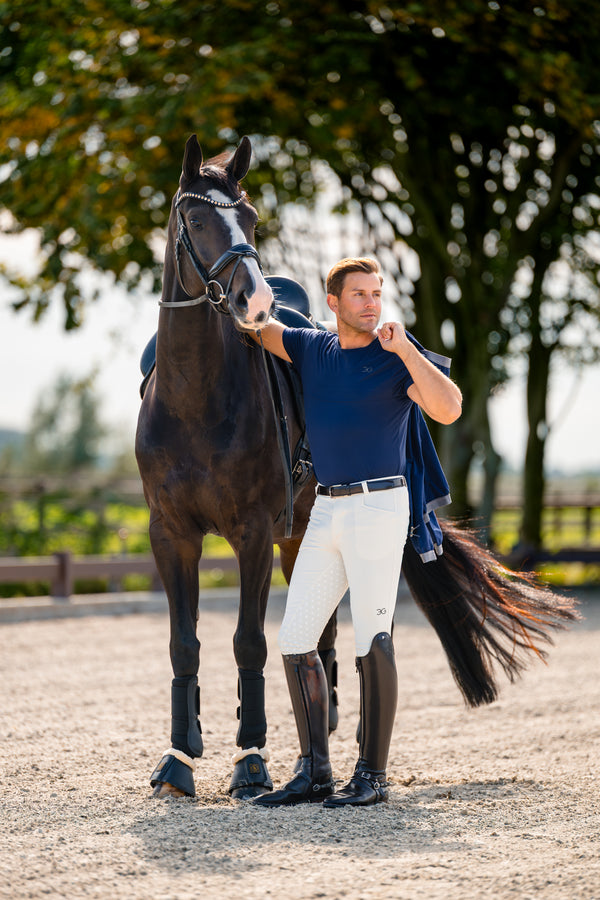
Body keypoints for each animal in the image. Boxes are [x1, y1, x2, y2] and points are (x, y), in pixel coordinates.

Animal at [136, 134, 578, 801]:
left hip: (294, 538)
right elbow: (183, 645)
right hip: (297, 538)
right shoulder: (171, 534)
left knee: (337, 642)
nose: (254, 303)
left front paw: (250, 761)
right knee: (317, 639)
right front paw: (178, 760)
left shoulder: (252, 535)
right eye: (197, 220)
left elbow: (248, 642)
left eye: (252, 219)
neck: (197, 401)